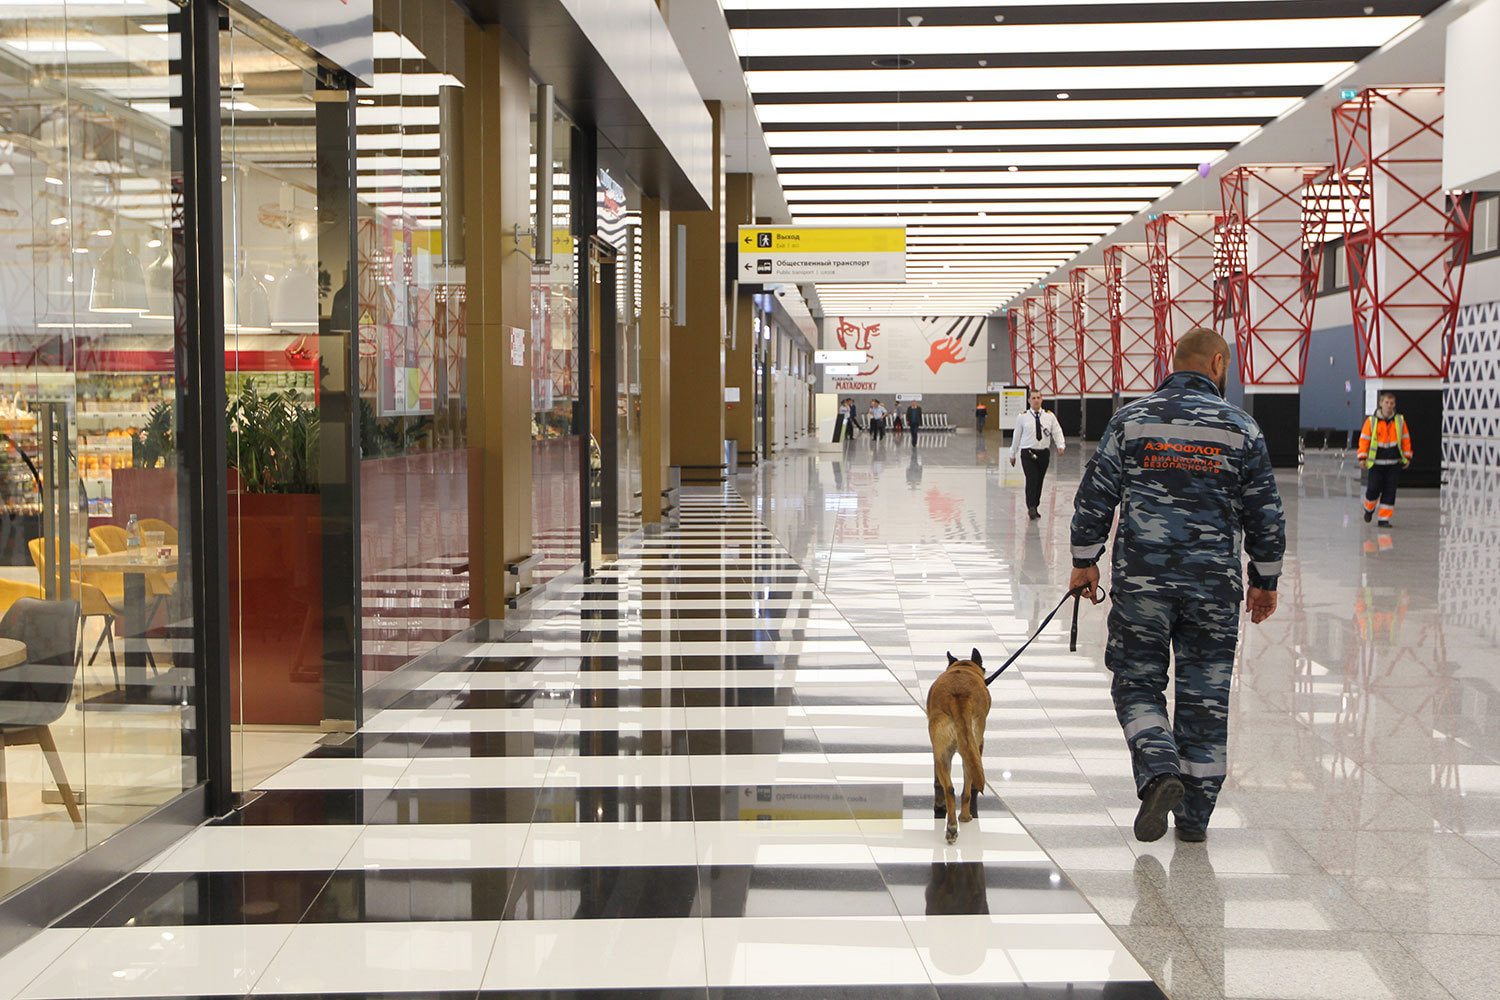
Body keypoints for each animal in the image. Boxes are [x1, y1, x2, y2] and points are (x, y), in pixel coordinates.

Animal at [924, 650, 984, 845]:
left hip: (943, 752)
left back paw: (951, 828)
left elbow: (938, 782)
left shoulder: (937, 751)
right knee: (966, 790)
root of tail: (958, 696)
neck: (963, 668)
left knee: (949, 788)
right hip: (971, 748)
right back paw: (964, 817)